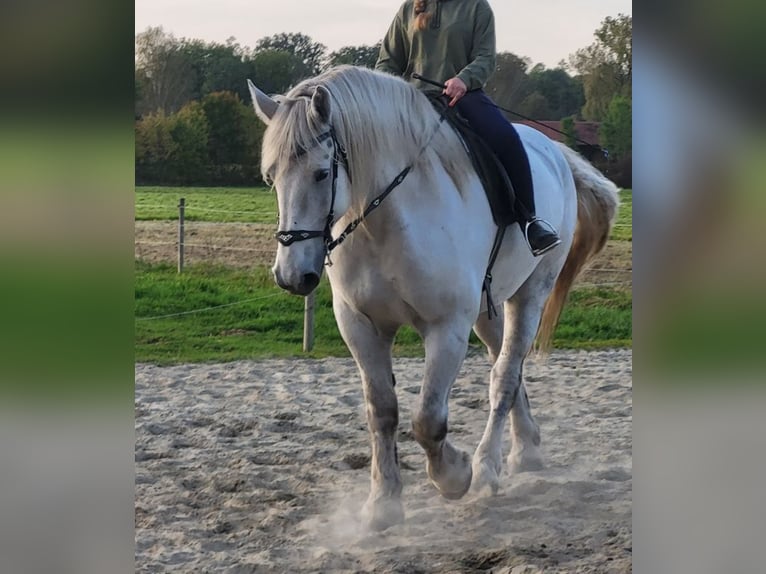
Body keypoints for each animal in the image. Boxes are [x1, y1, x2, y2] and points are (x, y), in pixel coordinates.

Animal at [249, 66, 620, 532]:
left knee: (504, 376)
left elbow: (427, 419)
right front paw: (383, 504)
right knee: (505, 365)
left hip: (530, 295)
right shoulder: (360, 326)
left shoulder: (446, 329)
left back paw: (488, 467)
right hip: (487, 311)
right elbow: (382, 412)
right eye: (271, 177)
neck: (384, 221)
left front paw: (455, 476)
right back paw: (527, 449)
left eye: (320, 173)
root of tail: (553, 151)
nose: (291, 276)